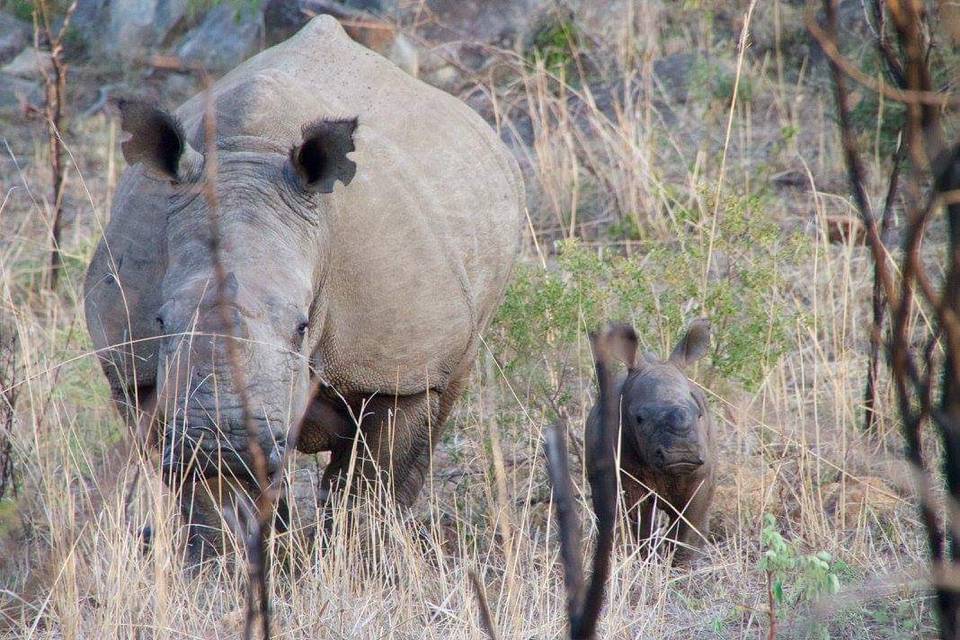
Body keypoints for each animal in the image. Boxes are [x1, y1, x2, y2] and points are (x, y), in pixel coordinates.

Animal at [584, 320, 712, 560]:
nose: (682, 454)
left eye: (699, 414)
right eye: (639, 419)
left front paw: (680, 565)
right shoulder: (621, 476)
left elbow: (688, 529)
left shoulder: (700, 477)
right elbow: (633, 522)